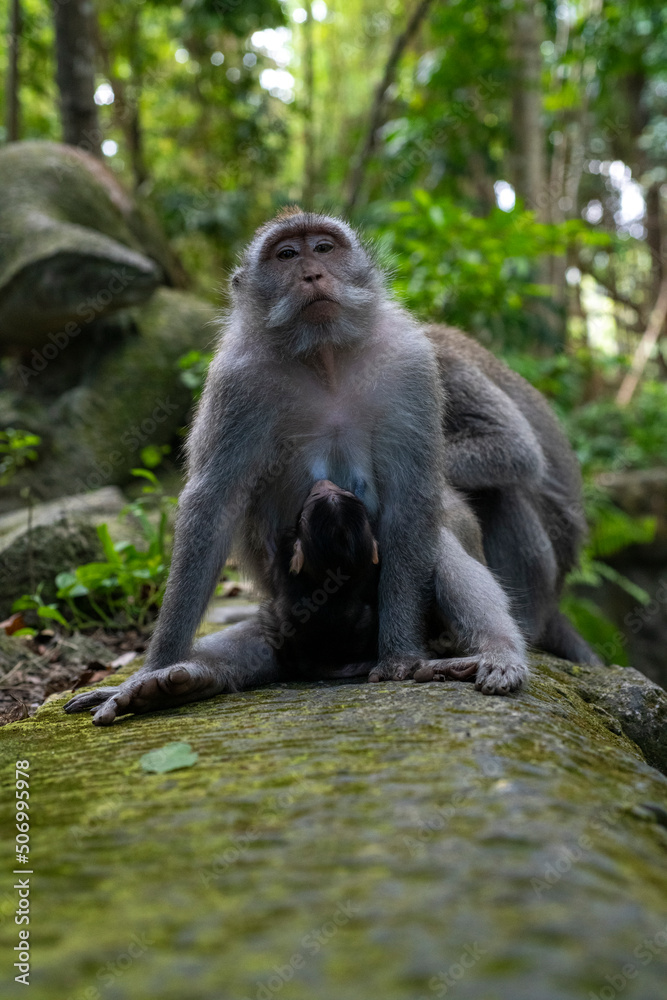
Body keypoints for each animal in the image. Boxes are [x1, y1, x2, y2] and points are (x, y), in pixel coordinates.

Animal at [64, 207, 589, 725]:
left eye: (323, 247)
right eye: (286, 254)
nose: (312, 273)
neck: (325, 355)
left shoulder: (413, 363)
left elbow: (419, 492)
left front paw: (399, 657)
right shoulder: (235, 380)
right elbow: (213, 504)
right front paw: (151, 669)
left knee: (439, 533)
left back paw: (497, 650)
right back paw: (177, 683)